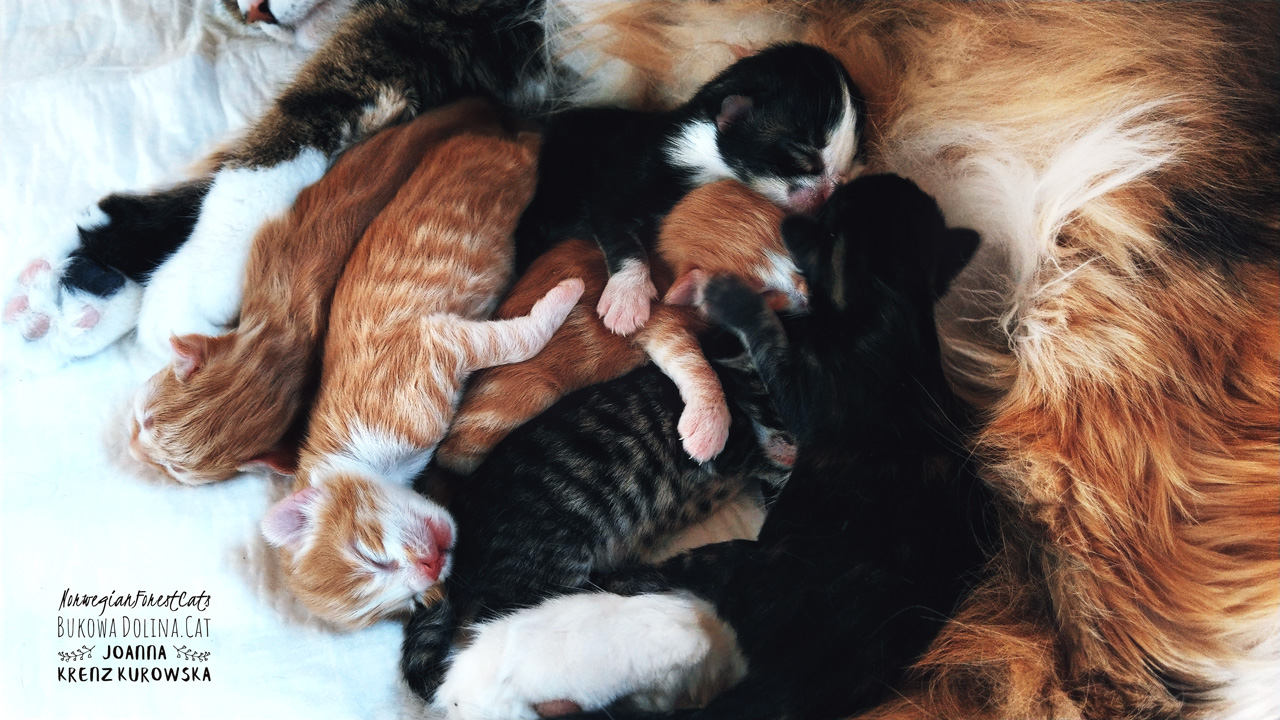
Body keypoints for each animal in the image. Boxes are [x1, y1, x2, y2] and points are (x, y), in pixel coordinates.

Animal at [258, 126, 585, 628]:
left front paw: (564, 296)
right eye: (407, 604)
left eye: (369, 555)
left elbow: (519, 339)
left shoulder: (436, 341)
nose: (431, 566)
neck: (370, 458)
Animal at [436, 179, 802, 472]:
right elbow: (694, 364)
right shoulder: (659, 322)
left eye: (797, 258)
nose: (807, 294)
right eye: (763, 294)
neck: (663, 261)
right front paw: (709, 427)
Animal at [515, 42, 862, 336]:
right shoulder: (618, 185)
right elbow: (623, 241)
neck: (706, 154)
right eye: (803, 157)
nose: (826, 195)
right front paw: (628, 298)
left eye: (844, 170)